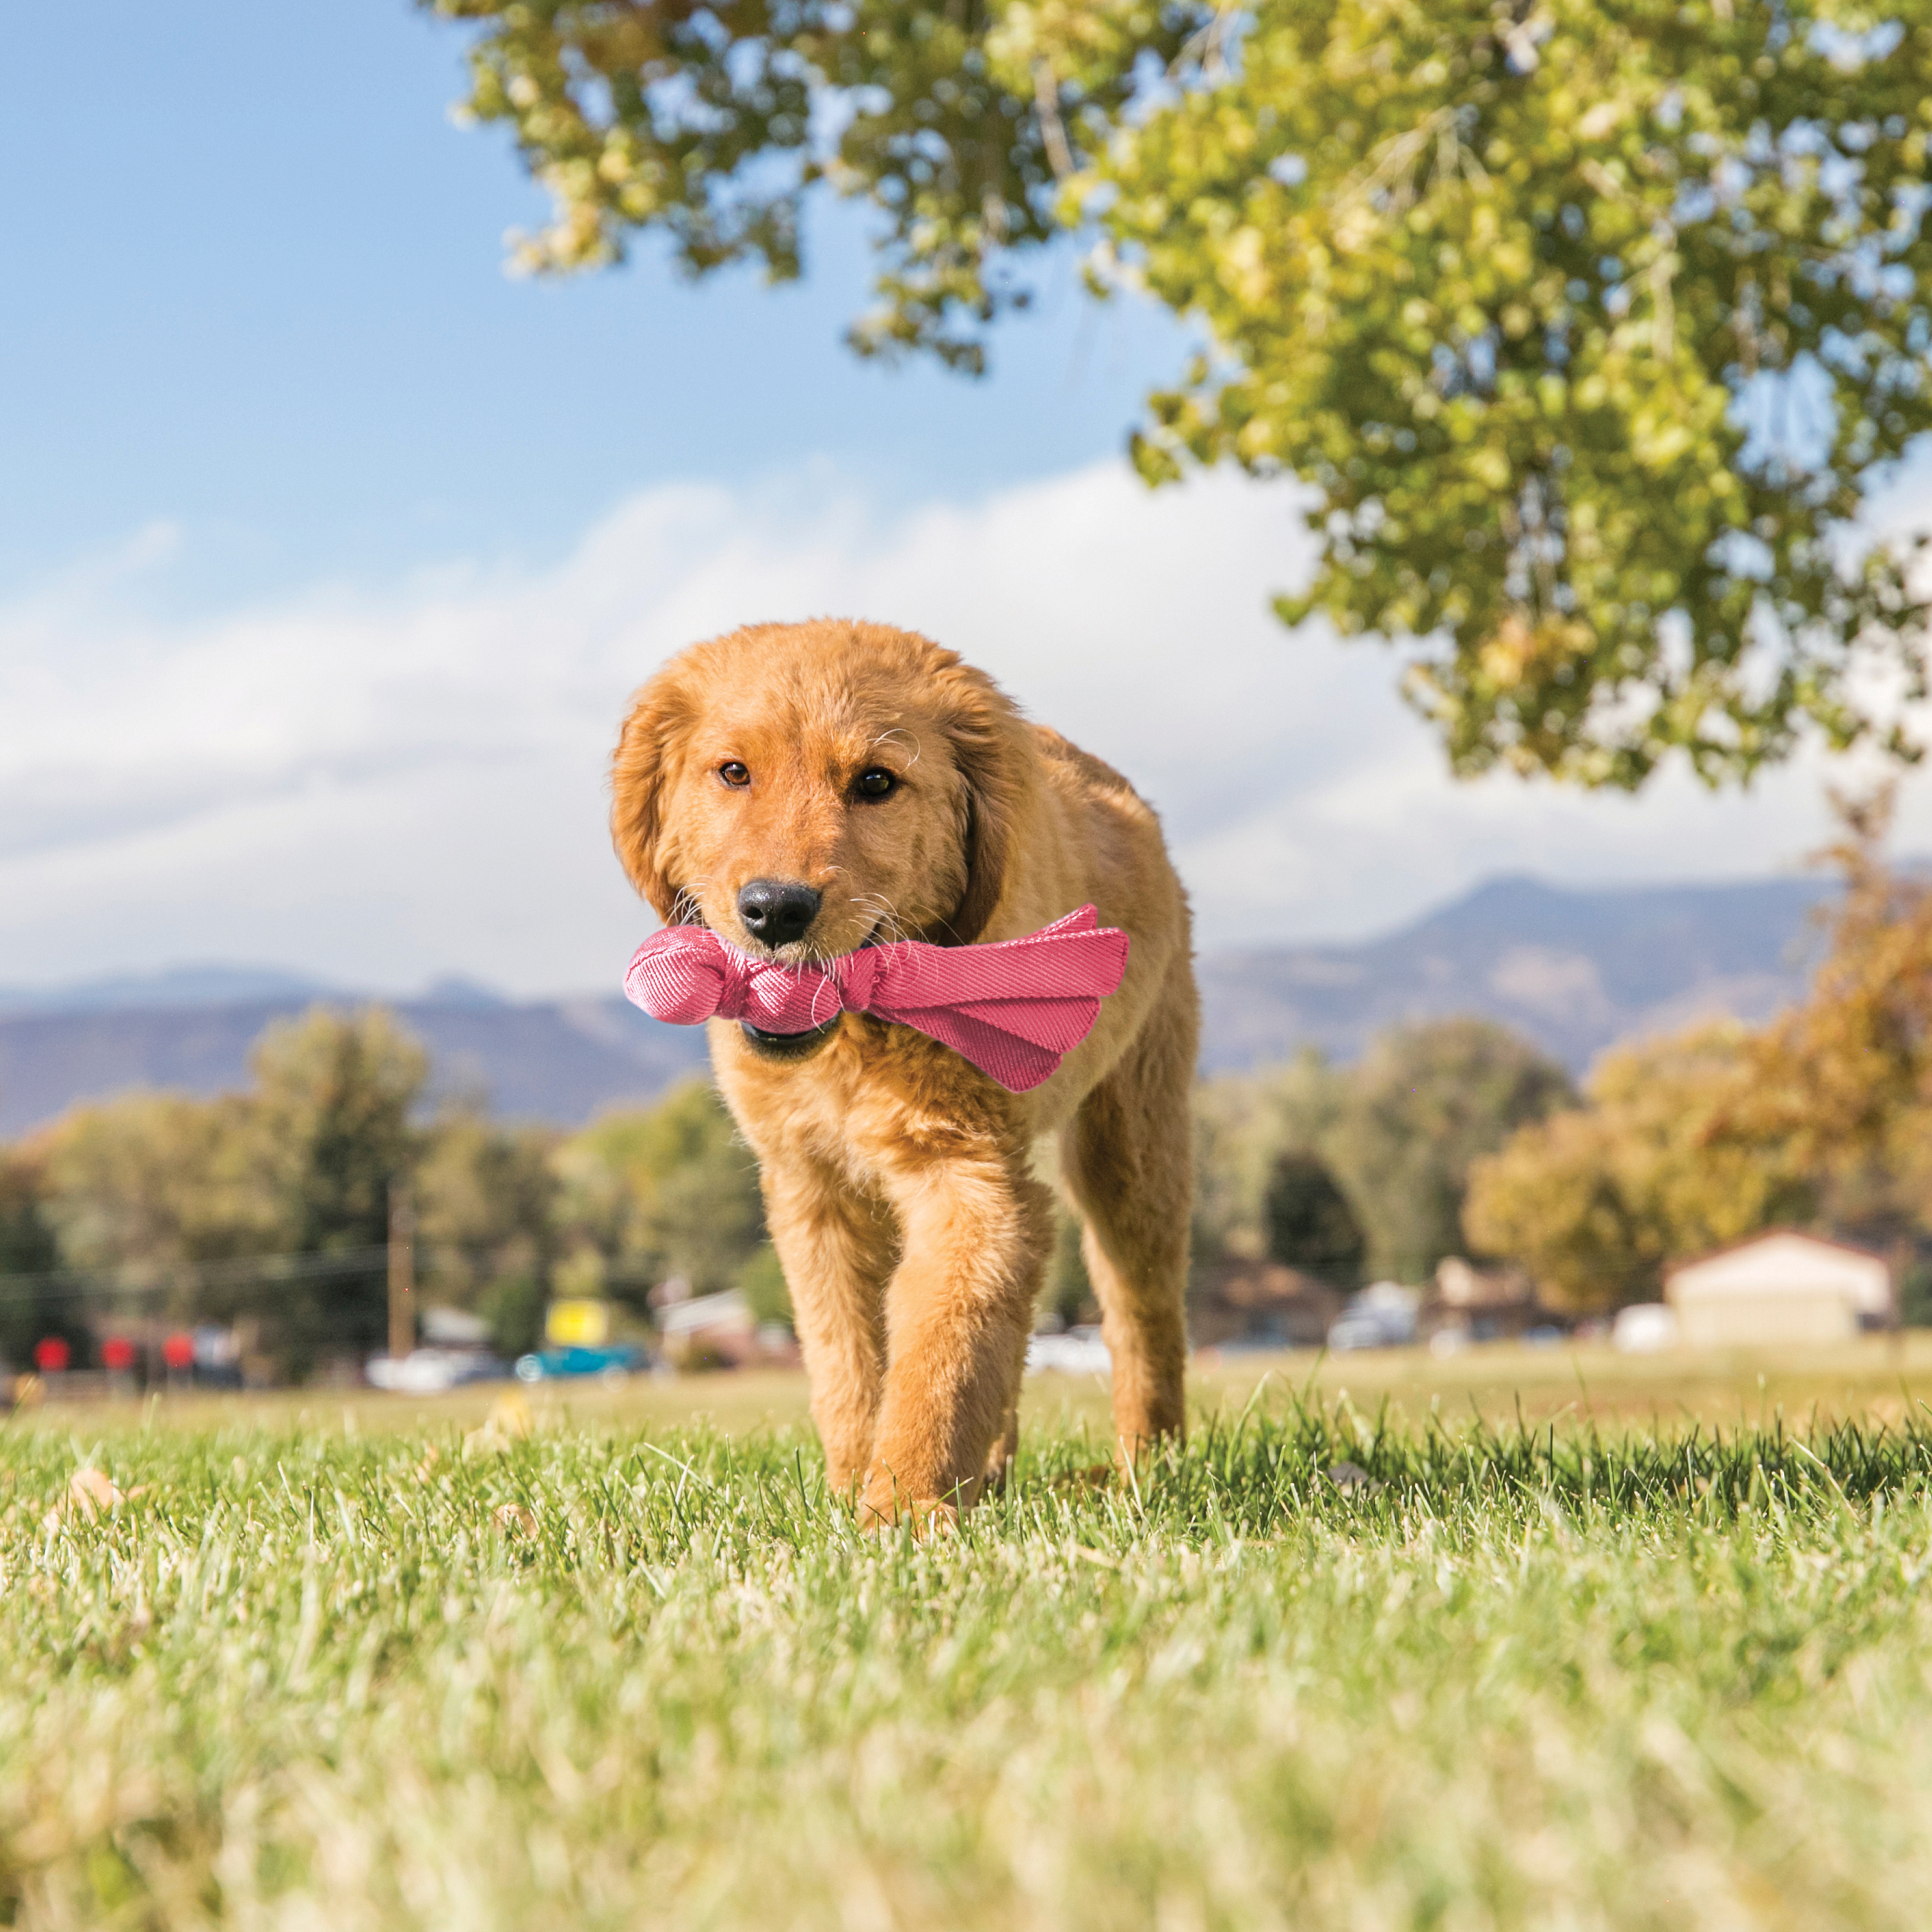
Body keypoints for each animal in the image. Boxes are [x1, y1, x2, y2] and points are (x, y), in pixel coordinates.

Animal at [614, 618, 1190, 1522]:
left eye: (876, 783)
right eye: (734, 773)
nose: (775, 909)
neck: (854, 1044)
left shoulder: (970, 1176)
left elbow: (940, 1354)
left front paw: (903, 1512)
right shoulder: (811, 1190)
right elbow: (849, 1356)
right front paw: (858, 1492)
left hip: (1133, 1145)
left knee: (1143, 1313)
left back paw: (1144, 1470)